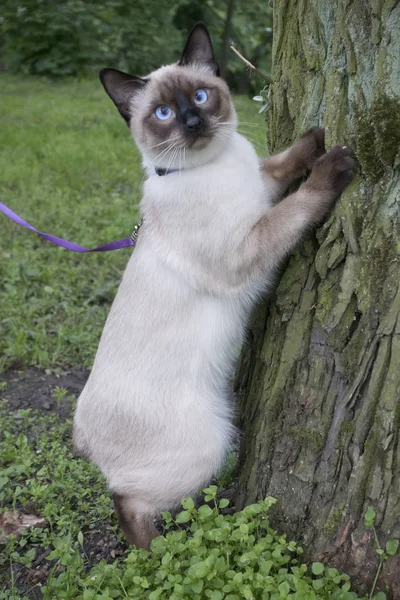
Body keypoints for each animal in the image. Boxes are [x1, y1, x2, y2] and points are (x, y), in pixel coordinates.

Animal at [73, 24, 358, 548]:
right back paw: (157, 552)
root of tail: (79, 435)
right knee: (126, 501)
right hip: (207, 447)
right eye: (163, 113)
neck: (217, 164)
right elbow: (301, 203)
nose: (191, 120)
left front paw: (316, 137)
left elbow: (282, 162)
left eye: (202, 96)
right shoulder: (252, 242)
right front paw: (333, 165)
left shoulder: (261, 183)